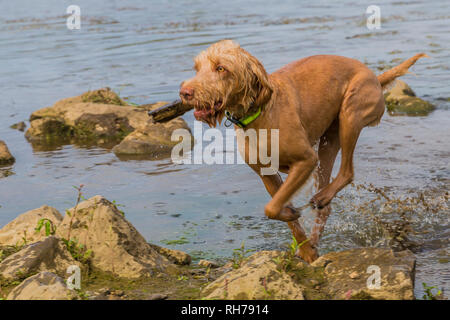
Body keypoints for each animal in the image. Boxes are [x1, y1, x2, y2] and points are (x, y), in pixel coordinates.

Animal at [179, 39, 426, 262]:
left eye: (221, 68)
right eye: (197, 68)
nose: (185, 92)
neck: (258, 113)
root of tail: (374, 75)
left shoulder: (306, 160)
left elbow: (271, 208)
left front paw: (292, 215)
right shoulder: (266, 174)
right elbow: (281, 212)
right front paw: (306, 249)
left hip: (350, 114)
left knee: (347, 172)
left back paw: (323, 197)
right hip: (328, 142)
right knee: (326, 204)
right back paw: (317, 228)